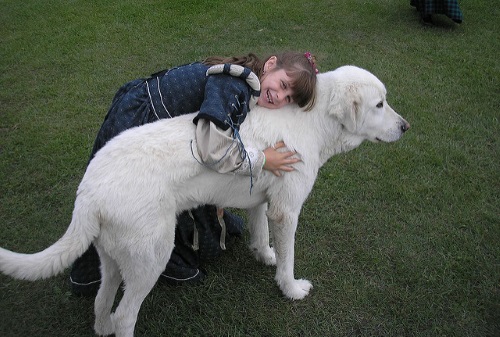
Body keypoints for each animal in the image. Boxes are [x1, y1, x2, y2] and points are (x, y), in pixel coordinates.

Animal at [0, 66, 410, 336]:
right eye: (379, 104)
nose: (406, 127)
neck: (314, 121)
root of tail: (88, 190)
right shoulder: (287, 210)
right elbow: (289, 259)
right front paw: (291, 289)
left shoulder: (261, 202)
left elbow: (262, 235)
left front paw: (265, 255)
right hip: (153, 256)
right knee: (124, 315)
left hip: (115, 258)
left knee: (103, 304)